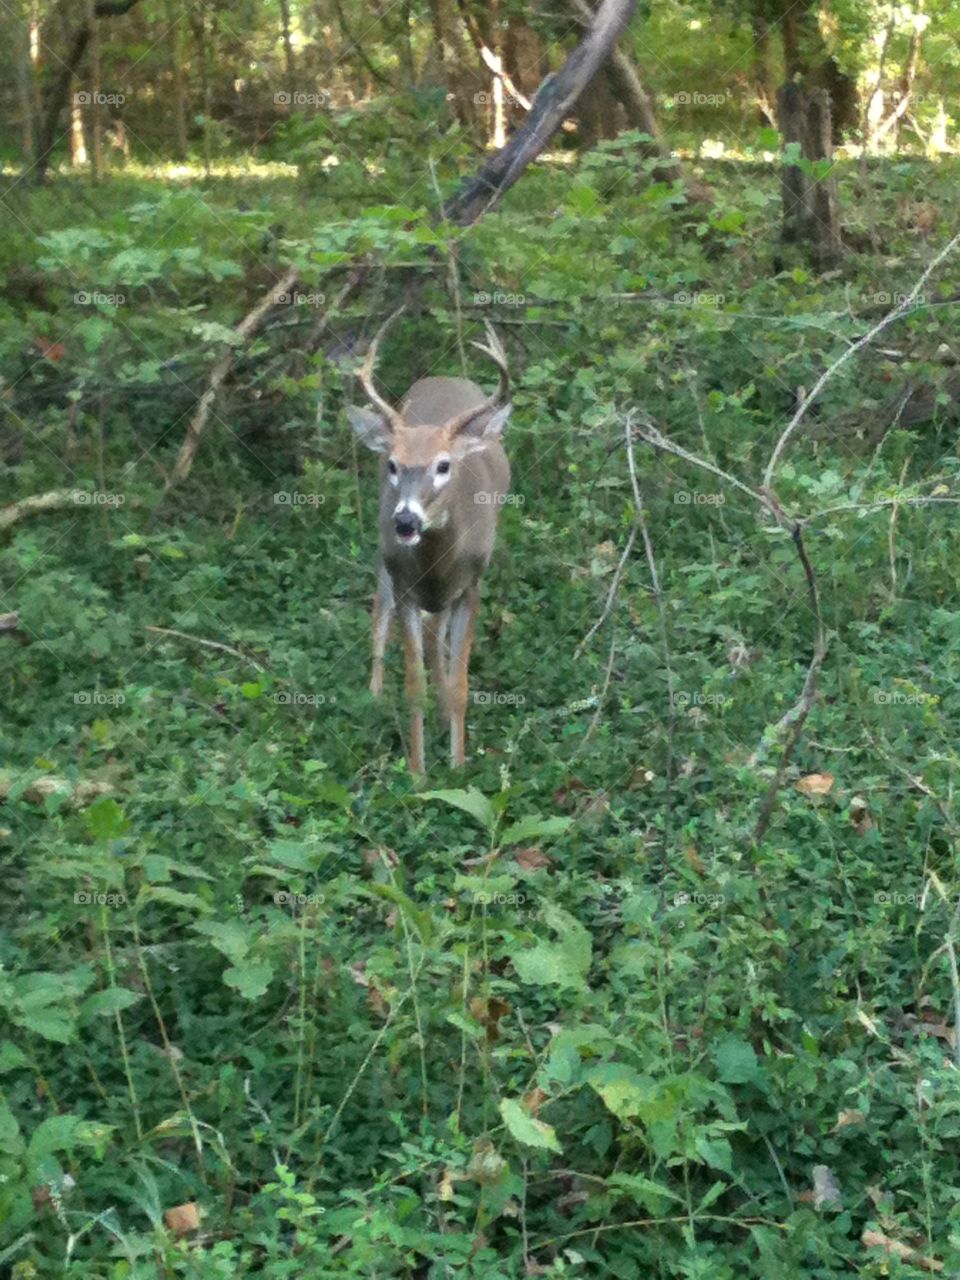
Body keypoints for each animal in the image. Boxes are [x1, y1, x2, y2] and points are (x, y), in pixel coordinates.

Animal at [345, 311, 512, 775]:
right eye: (392, 464)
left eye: (443, 465)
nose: (405, 520)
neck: (440, 563)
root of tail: (442, 376)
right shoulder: (405, 584)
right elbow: (413, 683)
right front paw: (419, 774)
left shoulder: (471, 585)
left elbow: (460, 685)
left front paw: (457, 766)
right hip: (387, 562)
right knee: (380, 609)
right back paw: (373, 694)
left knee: (439, 636)